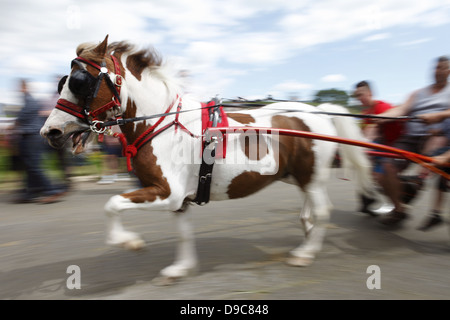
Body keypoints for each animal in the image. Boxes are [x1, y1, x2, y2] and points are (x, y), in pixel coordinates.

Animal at [40, 36, 378, 278]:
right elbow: (183, 234)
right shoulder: (178, 199)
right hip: (301, 176)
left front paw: (128, 241)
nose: (50, 131)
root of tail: (319, 111)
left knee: (322, 211)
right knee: (310, 210)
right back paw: (307, 235)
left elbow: (112, 204)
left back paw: (306, 252)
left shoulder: (167, 192)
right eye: (62, 82)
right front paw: (180, 268)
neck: (163, 123)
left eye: (79, 81)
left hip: (312, 177)